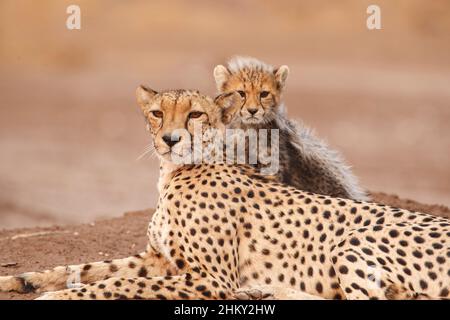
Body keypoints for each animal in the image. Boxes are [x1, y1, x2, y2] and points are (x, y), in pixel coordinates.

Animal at [0, 86, 448, 298]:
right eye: (157, 113)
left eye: (196, 114)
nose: (170, 139)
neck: (174, 173)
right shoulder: (158, 259)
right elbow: (88, 268)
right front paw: (22, 281)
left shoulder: (209, 278)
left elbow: (115, 286)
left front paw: (57, 298)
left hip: (350, 243)